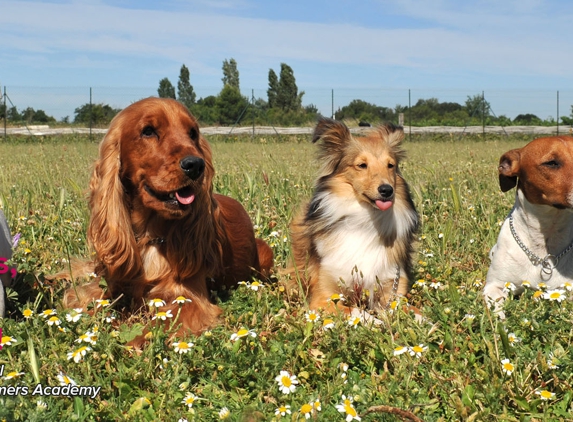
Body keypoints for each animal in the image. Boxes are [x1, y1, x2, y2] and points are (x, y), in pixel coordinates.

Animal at [290, 117, 416, 314]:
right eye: (362, 165)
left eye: (391, 165)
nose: (387, 190)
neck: (365, 220)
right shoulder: (323, 297)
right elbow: (357, 311)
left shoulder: (393, 292)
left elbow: (416, 313)